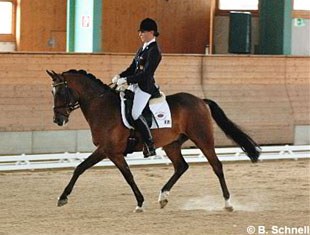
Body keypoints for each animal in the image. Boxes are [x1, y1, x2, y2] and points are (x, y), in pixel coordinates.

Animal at [45, 69, 260, 213]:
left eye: (61, 92)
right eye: (52, 92)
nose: (58, 120)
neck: (102, 107)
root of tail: (200, 100)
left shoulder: (109, 151)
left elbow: (125, 175)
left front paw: (140, 203)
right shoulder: (108, 151)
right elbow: (81, 168)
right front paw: (62, 197)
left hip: (202, 138)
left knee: (217, 166)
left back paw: (228, 203)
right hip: (172, 144)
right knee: (181, 166)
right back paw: (163, 197)